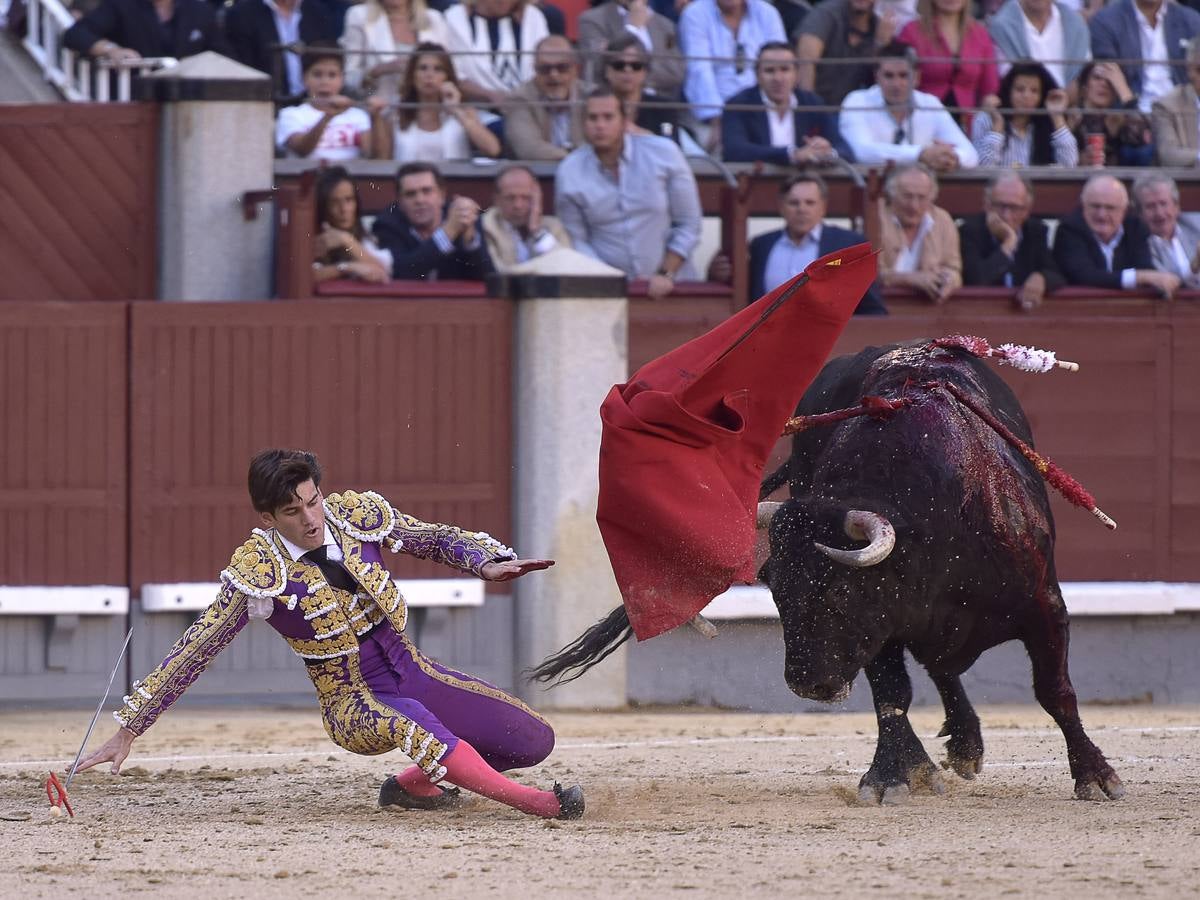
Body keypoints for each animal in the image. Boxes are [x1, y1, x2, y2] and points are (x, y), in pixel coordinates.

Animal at [530, 340, 1118, 806]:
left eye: (839, 594)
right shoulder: (884, 627)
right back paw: (947, 754)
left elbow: (1055, 690)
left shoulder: (1045, 604)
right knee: (937, 671)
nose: (806, 684)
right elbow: (892, 695)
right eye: (779, 598)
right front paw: (891, 777)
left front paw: (1095, 776)